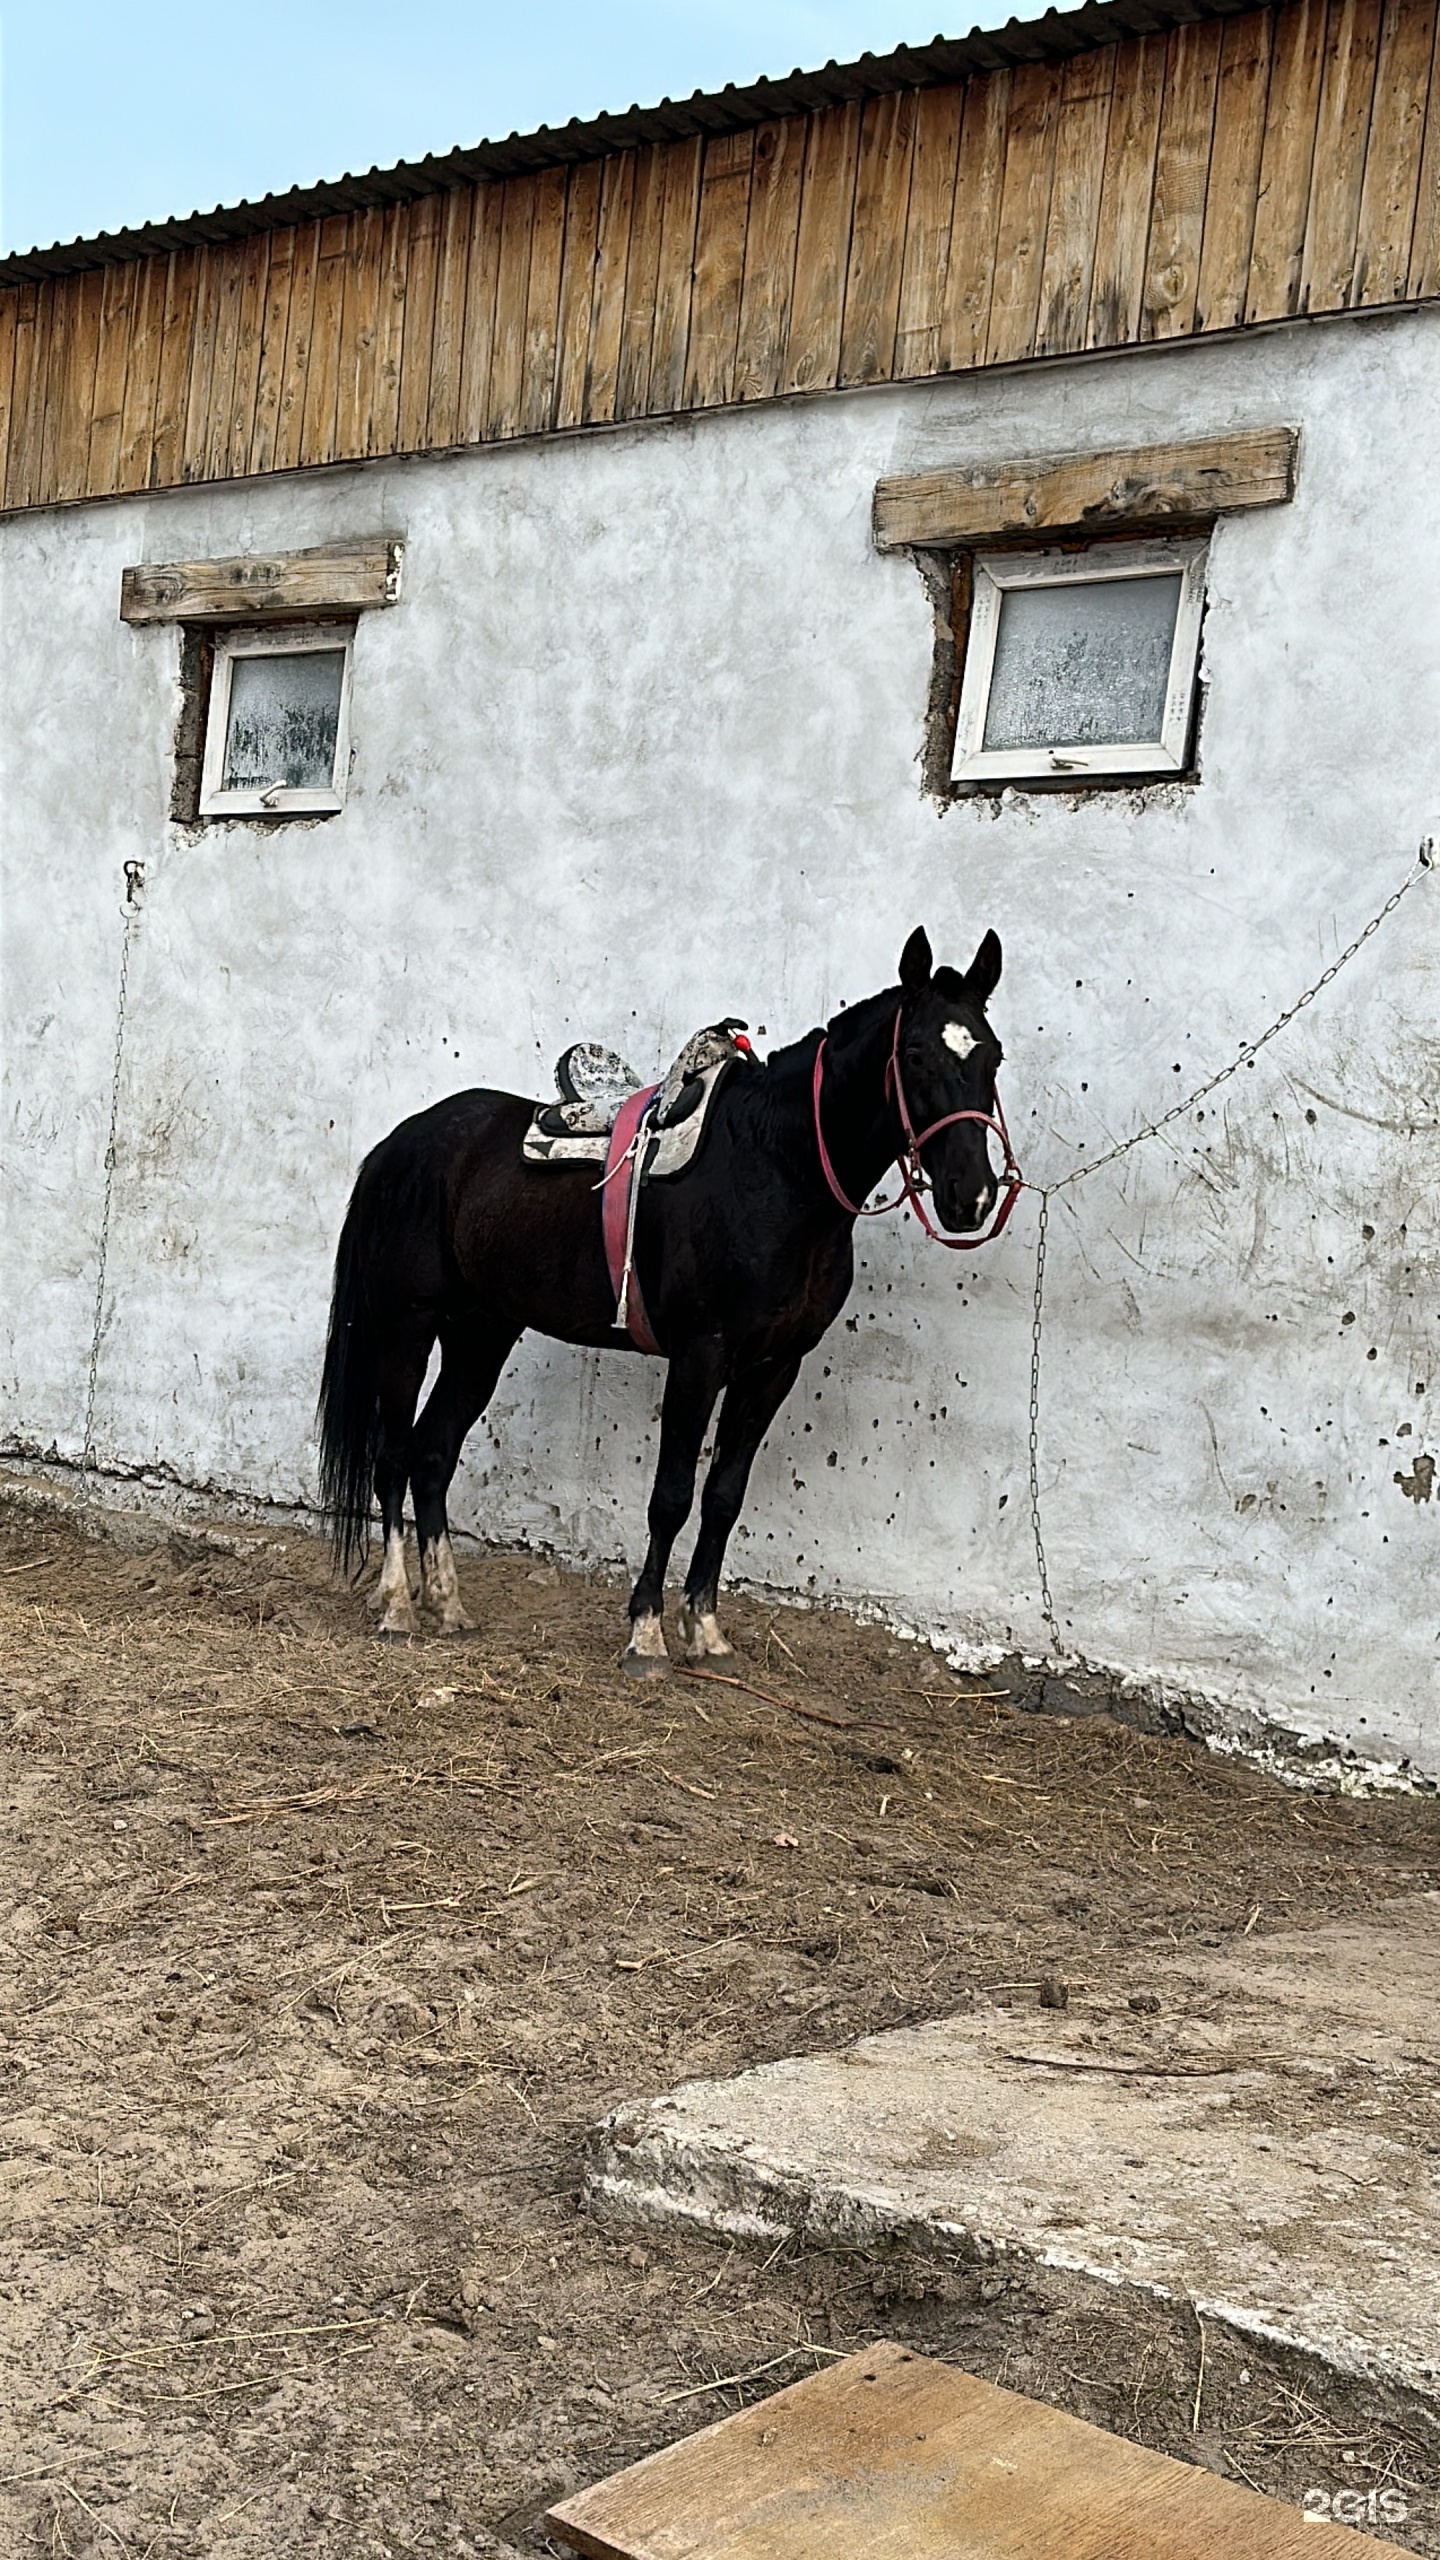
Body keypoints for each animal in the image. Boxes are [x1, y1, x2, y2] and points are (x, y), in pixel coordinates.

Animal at [319, 931, 1004, 1669]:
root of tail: (405, 1141)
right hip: (407, 1325)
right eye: (915, 1054)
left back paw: (447, 1605)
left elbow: (724, 1496)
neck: (777, 1168)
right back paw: (396, 1605)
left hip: (482, 1332)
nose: (970, 1197)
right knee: (393, 1455)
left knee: (432, 1454)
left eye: (992, 1055)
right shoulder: (701, 1356)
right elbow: (671, 1496)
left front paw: (705, 1629)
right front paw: (645, 1632)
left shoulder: (774, 1367)